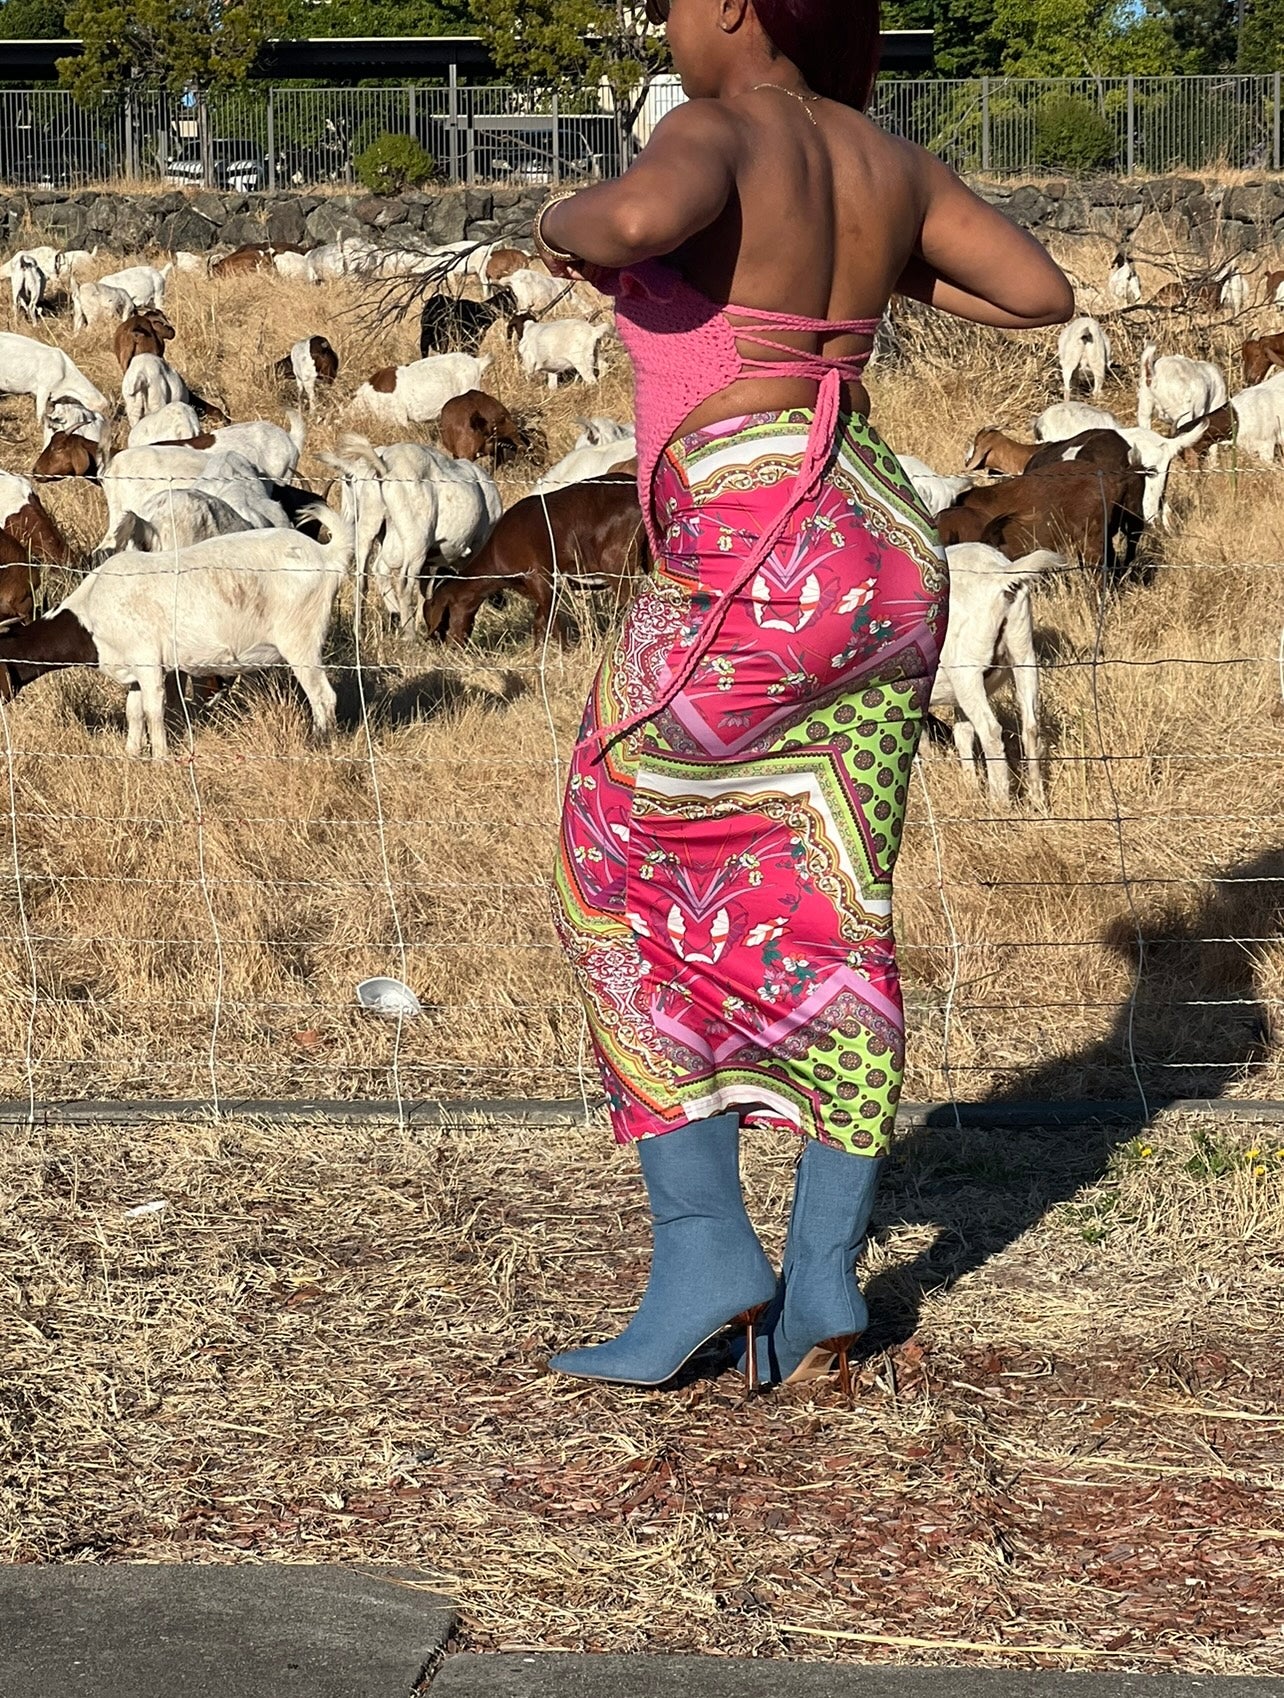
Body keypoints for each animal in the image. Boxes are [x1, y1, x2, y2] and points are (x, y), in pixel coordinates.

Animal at [0, 499, 351, 760]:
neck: (89, 614)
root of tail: (327, 555)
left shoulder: (148, 662)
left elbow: (154, 710)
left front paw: (160, 758)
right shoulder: (133, 672)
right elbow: (134, 713)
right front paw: (131, 755)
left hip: (301, 638)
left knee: (324, 696)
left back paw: (318, 745)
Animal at [421, 478, 642, 648]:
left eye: (444, 619)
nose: (449, 647)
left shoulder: (538, 578)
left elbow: (551, 620)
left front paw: (564, 652)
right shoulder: (549, 587)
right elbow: (539, 620)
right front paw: (537, 651)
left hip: (616, 561)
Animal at [930, 543, 1059, 808]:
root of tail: (1000, 574)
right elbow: (961, 733)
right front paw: (969, 787)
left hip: (965, 668)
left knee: (990, 731)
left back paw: (999, 802)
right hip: (1023, 651)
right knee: (1030, 726)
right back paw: (1037, 800)